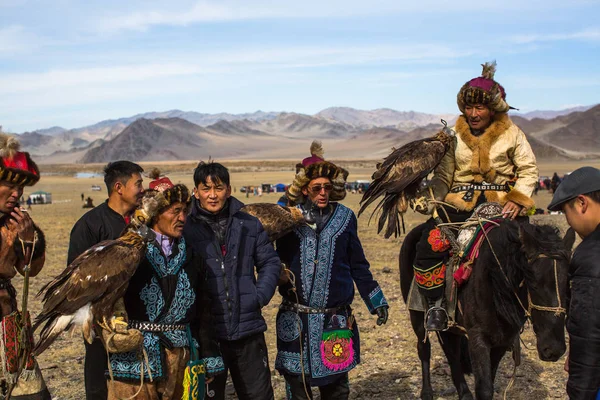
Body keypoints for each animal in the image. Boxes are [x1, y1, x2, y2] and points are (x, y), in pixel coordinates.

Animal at [400, 222, 576, 400]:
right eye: (533, 283)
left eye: (568, 284)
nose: (553, 350)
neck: (494, 282)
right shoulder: (478, 338)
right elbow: (484, 389)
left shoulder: (502, 340)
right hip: (417, 316)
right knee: (424, 349)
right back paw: (427, 391)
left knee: (452, 351)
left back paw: (464, 393)